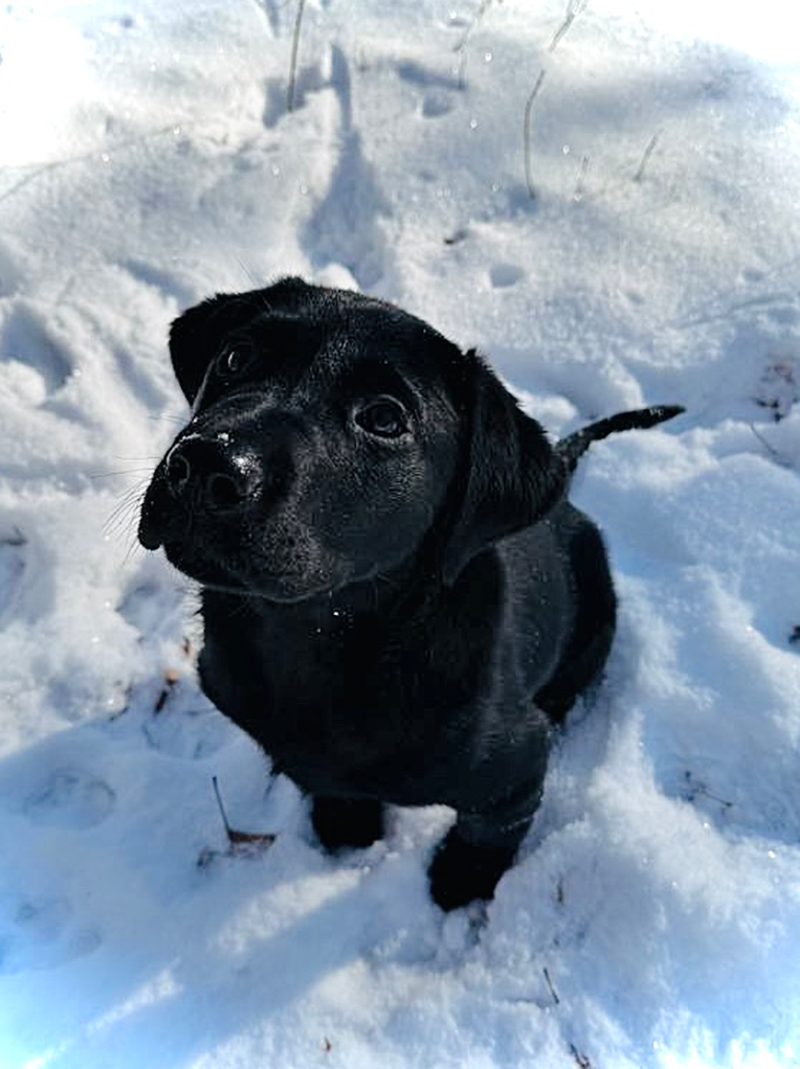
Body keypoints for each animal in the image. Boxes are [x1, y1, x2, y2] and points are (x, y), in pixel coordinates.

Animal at [139, 277, 680, 910]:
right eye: (234, 357)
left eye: (383, 417)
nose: (205, 463)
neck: (311, 640)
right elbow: (332, 784)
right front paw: (346, 827)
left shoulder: (515, 768)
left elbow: (488, 832)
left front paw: (459, 885)